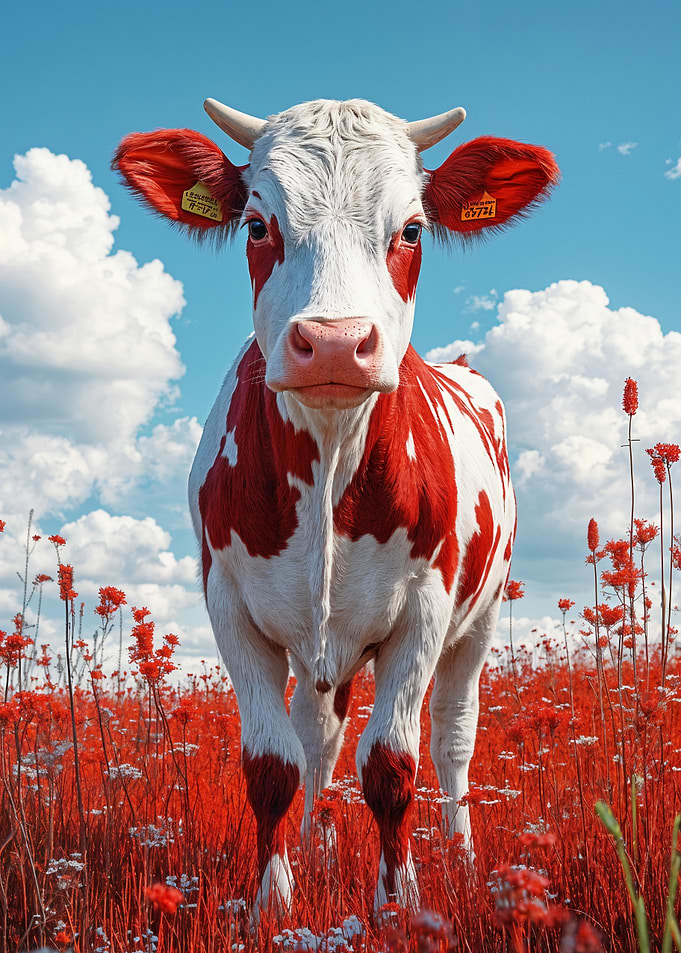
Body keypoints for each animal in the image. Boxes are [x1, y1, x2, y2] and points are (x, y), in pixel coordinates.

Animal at [114, 97, 558, 920]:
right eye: (258, 224)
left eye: (411, 229)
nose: (331, 342)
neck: (324, 461)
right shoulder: (230, 606)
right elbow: (273, 764)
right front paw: (274, 899)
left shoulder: (425, 611)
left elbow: (390, 763)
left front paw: (398, 901)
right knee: (317, 738)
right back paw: (316, 844)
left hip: (477, 621)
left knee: (452, 735)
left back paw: (461, 853)